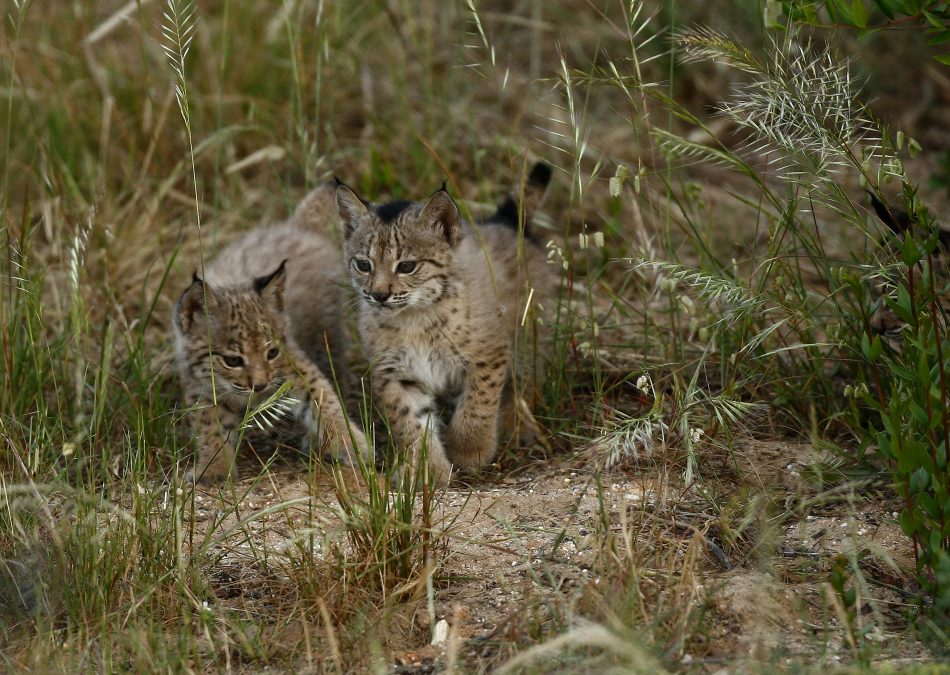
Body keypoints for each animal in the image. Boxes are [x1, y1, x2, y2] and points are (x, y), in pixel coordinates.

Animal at [173, 187, 370, 484]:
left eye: (272, 353)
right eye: (233, 360)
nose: (260, 386)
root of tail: (295, 227)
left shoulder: (297, 367)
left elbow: (325, 401)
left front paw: (352, 444)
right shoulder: (202, 388)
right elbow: (209, 427)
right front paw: (215, 468)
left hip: (324, 336)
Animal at [334, 166, 556, 484]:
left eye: (406, 266)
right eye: (363, 265)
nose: (378, 295)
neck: (414, 315)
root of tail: (505, 222)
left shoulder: (488, 354)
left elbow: (477, 405)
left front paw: (470, 452)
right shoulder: (395, 373)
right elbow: (410, 423)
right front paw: (426, 471)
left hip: (529, 335)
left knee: (524, 382)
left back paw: (518, 426)